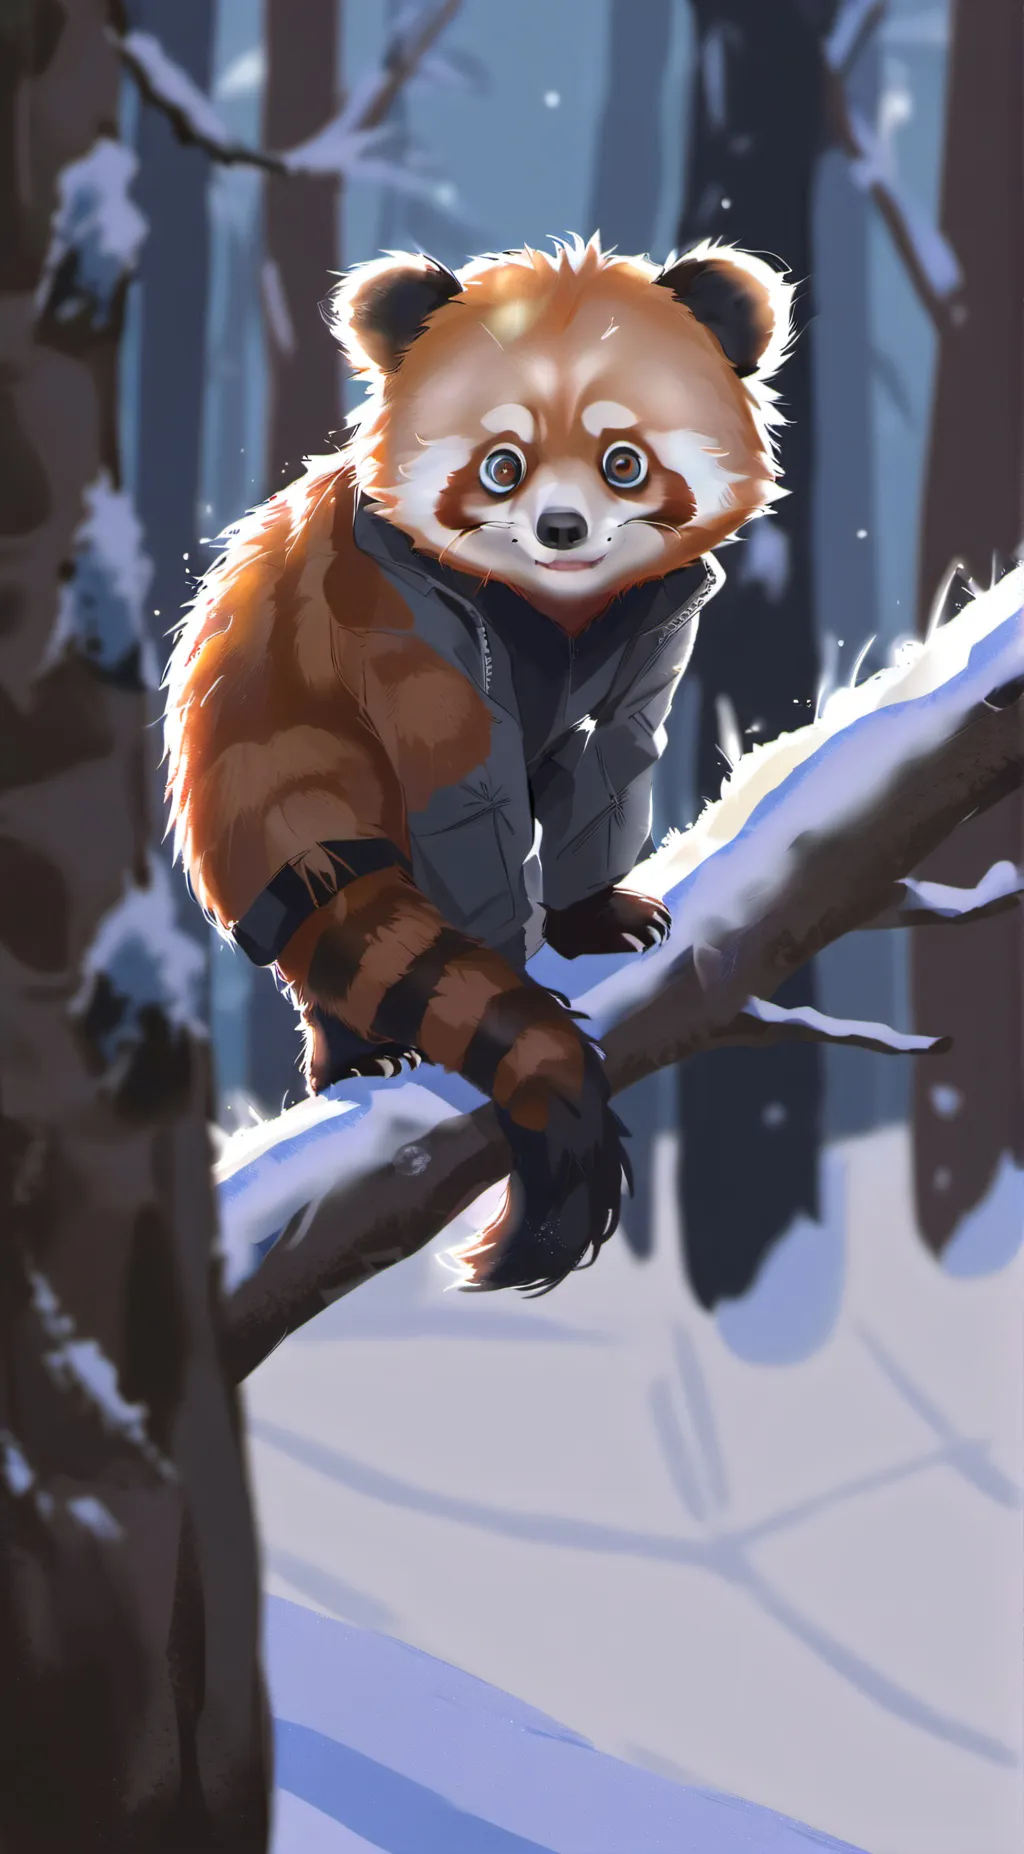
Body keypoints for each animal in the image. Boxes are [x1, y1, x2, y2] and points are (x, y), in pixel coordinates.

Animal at [164, 232, 792, 1294]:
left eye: (624, 462)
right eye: (503, 466)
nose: (561, 529)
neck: (556, 612)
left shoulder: (659, 622)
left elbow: (614, 764)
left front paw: (590, 914)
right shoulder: (395, 614)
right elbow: (464, 799)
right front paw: (506, 957)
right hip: (282, 779)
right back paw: (354, 1054)